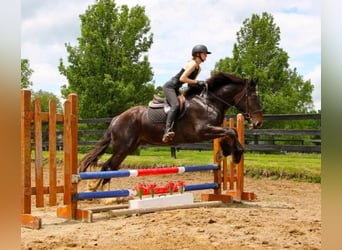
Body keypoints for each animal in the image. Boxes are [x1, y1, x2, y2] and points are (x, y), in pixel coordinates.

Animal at [79, 71, 264, 189]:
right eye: (253, 97)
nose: (258, 123)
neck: (209, 101)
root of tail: (116, 118)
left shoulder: (213, 129)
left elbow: (230, 133)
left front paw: (227, 151)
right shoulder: (202, 131)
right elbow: (231, 132)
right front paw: (237, 154)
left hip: (129, 148)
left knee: (112, 167)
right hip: (123, 147)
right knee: (107, 167)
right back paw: (97, 191)